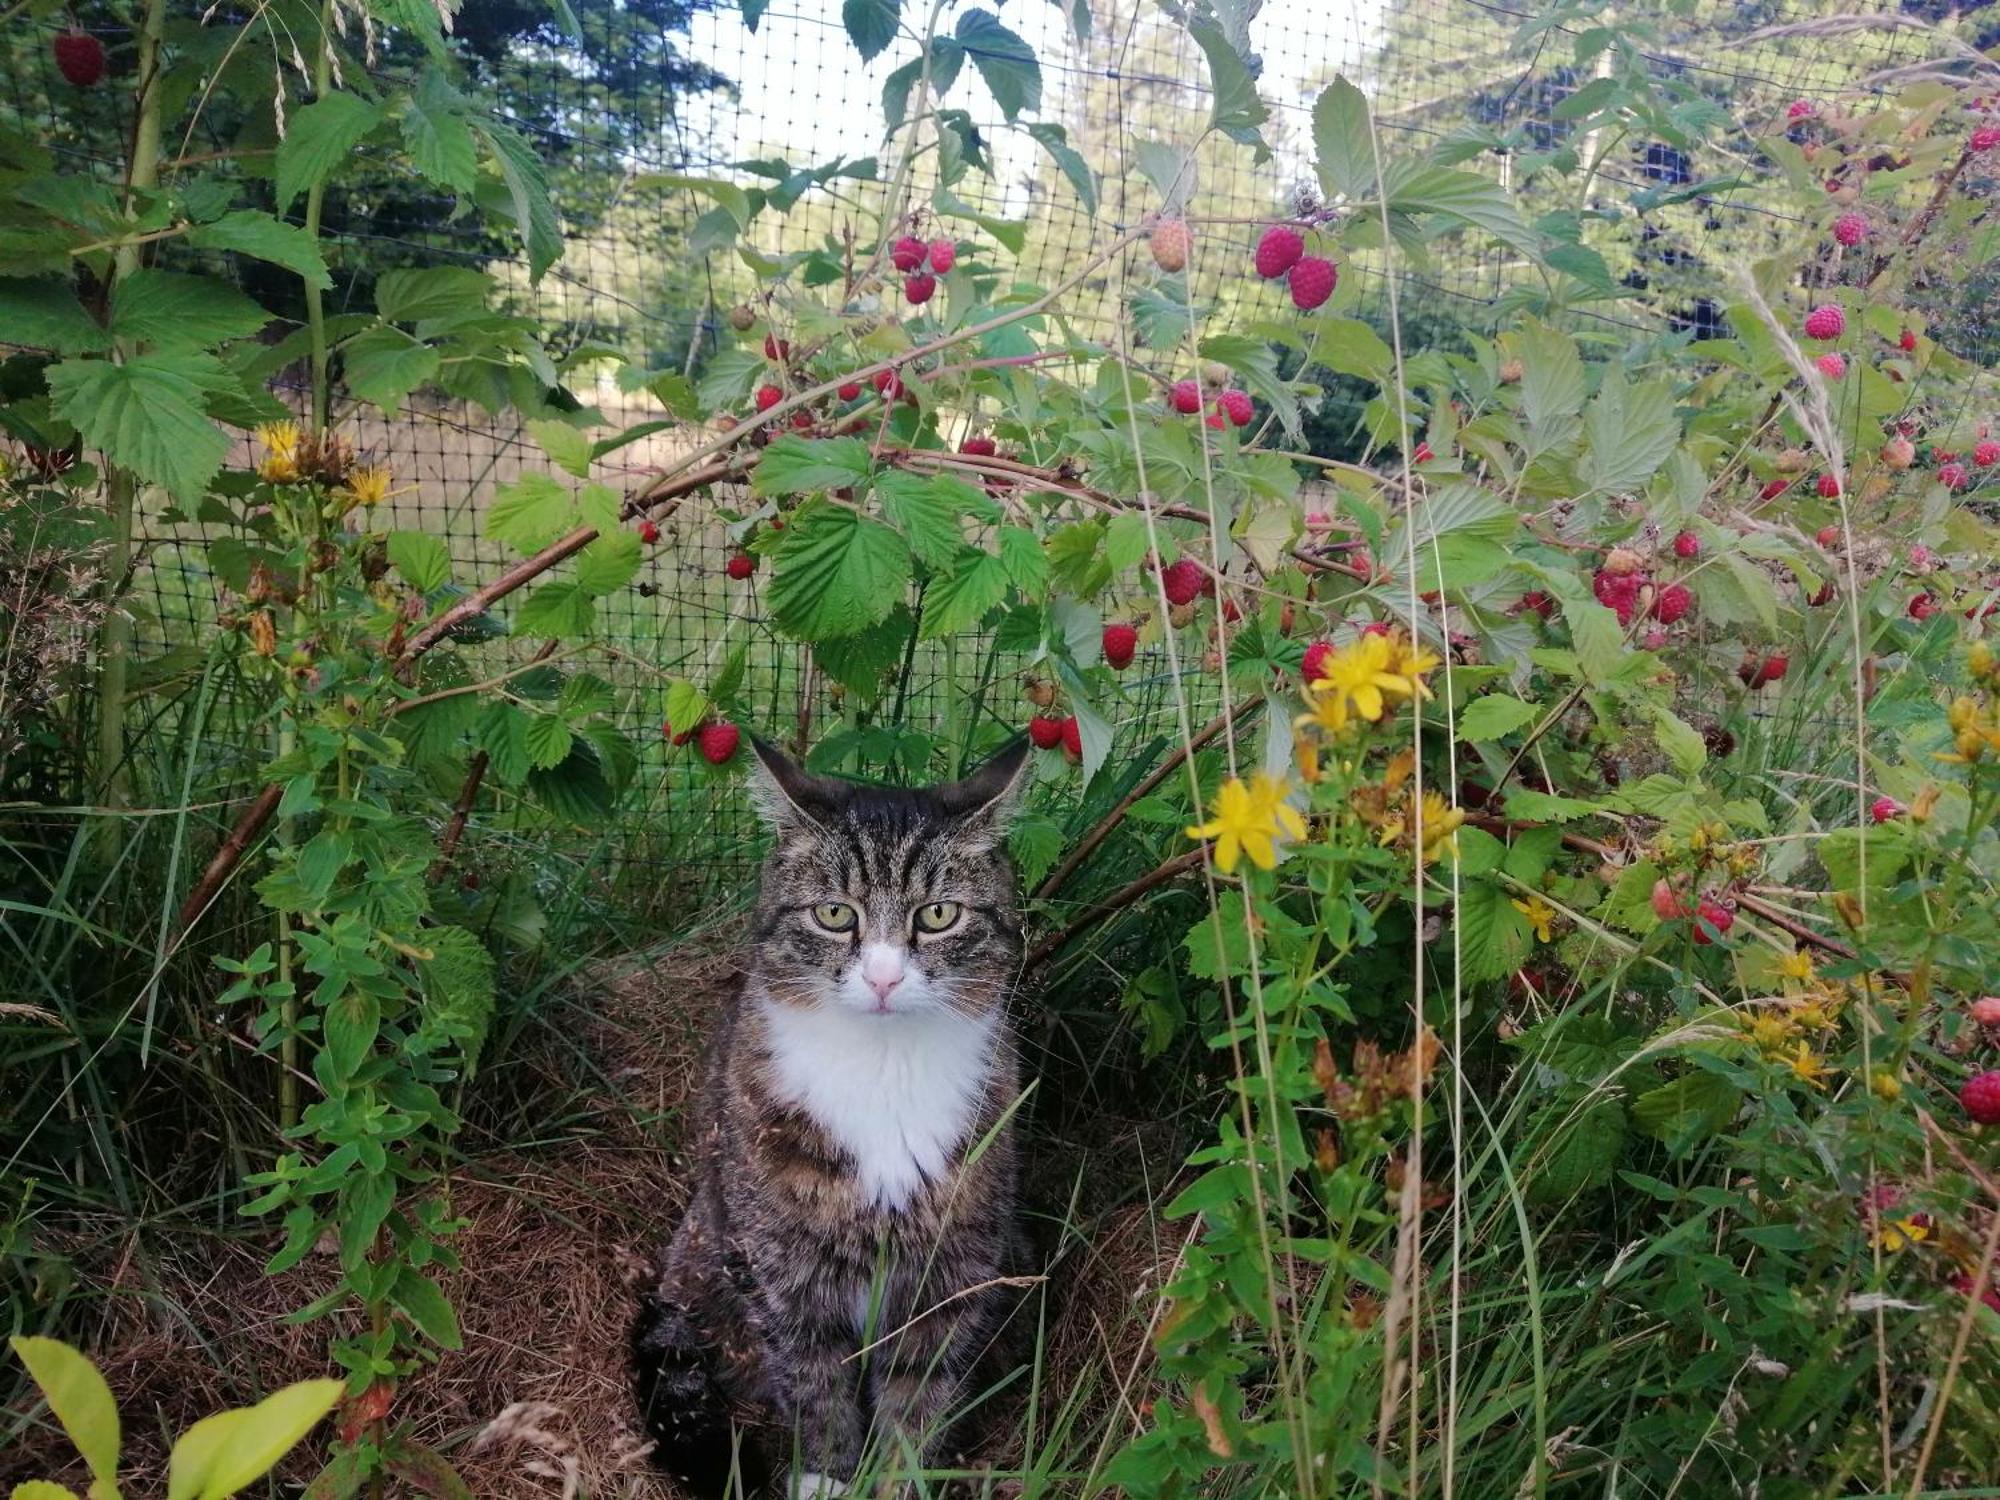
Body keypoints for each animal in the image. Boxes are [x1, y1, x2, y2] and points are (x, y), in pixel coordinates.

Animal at [632, 736, 1032, 1496]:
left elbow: (921, 1389)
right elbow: (814, 1381)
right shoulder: (780, 1269)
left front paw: (901, 1478)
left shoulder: (952, 1266)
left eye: (939, 915)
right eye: (835, 914)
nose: (883, 977)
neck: (882, 1068)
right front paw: (827, 1476)